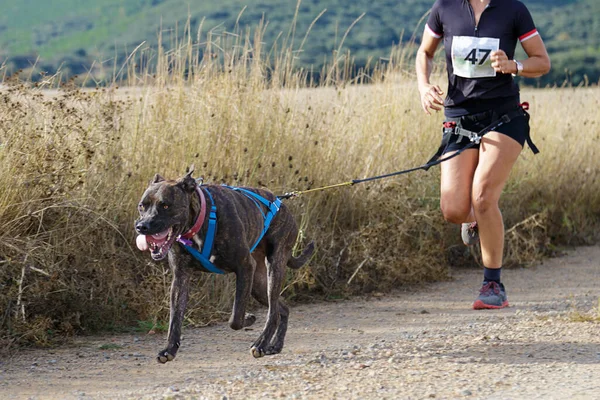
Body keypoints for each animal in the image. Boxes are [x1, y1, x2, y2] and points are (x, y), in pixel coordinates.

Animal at [135, 169, 314, 362]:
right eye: (142, 206)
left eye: (166, 206)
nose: (141, 226)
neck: (200, 219)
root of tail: (282, 204)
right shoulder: (180, 277)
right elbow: (175, 318)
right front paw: (169, 349)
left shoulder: (244, 267)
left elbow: (235, 318)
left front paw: (248, 318)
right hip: (257, 285)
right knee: (282, 308)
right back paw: (275, 345)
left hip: (274, 267)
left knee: (273, 312)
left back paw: (261, 344)